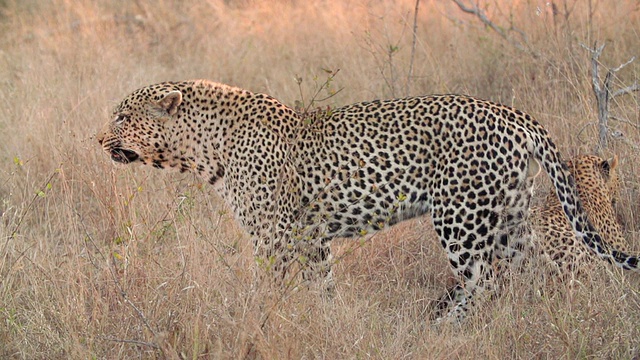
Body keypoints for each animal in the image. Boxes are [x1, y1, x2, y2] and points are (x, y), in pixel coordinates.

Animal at [96, 80, 640, 322]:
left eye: (123, 117)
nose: (97, 140)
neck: (203, 147)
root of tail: (514, 115)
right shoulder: (310, 237)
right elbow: (321, 286)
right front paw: (328, 321)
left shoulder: (272, 235)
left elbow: (267, 288)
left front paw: (256, 317)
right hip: (510, 217)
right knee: (533, 274)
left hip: (461, 218)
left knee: (485, 282)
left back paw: (444, 330)